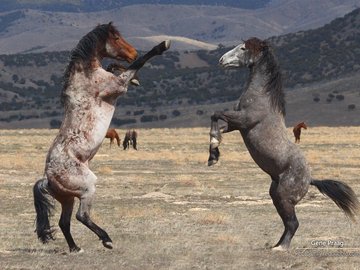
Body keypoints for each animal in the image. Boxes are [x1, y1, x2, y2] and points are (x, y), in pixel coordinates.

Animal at [32, 22, 170, 253]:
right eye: (116, 37)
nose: (133, 51)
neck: (86, 76)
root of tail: (47, 178)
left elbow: (122, 67)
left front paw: (131, 75)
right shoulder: (118, 86)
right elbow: (139, 63)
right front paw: (161, 45)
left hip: (68, 198)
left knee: (64, 222)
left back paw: (76, 248)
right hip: (87, 187)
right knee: (81, 216)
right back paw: (106, 239)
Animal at [207, 37, 358, 250]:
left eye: (243, 48)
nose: (221, 60)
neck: (262, 96)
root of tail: (309, 179)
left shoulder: (244, 120)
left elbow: (216, 113)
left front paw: (214, 148)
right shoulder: (236, 125)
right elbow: (217, 125)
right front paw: (213, 154)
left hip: (283, 197)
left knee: (293, 223)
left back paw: (281, 248)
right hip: (276, 196)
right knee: (288, 223)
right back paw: (275, 245)